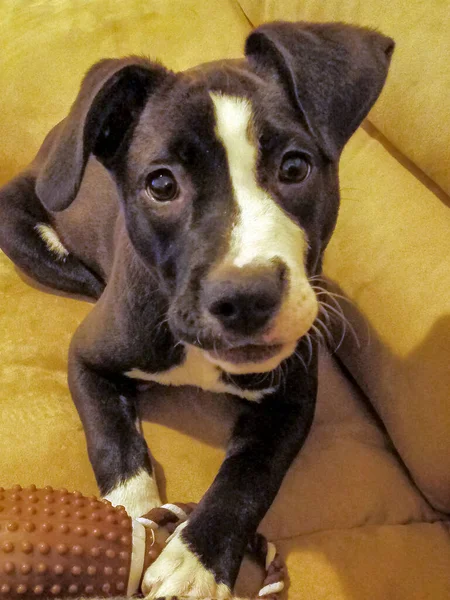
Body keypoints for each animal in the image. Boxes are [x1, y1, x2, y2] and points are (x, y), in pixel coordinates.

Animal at [0, 21, 394, 596]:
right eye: (161, 183)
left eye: (295, 166)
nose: (247, 297)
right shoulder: (87, 357)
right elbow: (113, 443)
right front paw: (129, 521)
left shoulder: (293, 399)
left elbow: (251, 475)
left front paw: (195, 561)